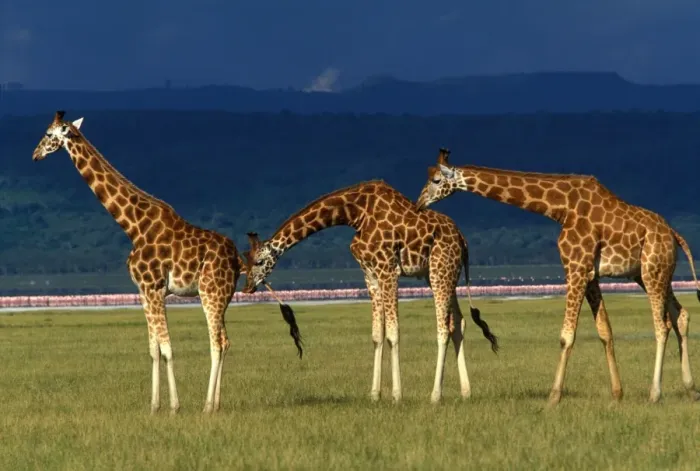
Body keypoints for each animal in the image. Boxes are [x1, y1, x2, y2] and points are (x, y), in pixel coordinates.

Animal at [31, 111, 266, 414]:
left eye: (48, 134)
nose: (35, 155)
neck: (133, 226)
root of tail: (238, 259)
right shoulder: (142, 290)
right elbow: (154, 349)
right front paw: (154, 406)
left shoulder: (154, 287)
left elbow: (167, 347)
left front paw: (174, 407)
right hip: (222, 295)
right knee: (224, 341)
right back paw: (215, 404)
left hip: (210, 292)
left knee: (217, 342)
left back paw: (207, 406)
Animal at [241, 180, 498, 403]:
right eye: (247, 261)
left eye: (259, 262)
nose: (247, 287)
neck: (354, 214)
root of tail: (463, 241)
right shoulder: (370, 275)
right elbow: (377, 335)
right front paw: (375, 394)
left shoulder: (388, 270)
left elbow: (393, 333)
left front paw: (396, 395)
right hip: (442, 274)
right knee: (459, 322)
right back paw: (466, 391)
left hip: (440, 272)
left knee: (443, 327)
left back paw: (435, 396)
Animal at [415, 147, 700, 406]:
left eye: (436, 180)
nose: (418, 204)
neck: (559, 208)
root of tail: (674, 235)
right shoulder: (590, 274)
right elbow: (605, 331)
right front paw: (617, 394)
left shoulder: (575, 267)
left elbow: (566, 336)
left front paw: (553, 398)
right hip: (650, 274)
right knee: (681, 316)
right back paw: (690, 388)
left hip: (653, 272)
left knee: (662, 325)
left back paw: (655, 394)